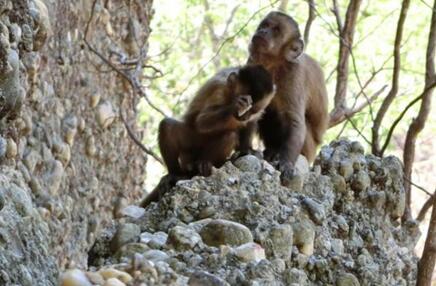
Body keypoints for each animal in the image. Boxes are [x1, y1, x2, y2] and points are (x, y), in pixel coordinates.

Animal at [141, 65, 274, 207]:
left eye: (253, 111)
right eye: (245, 109)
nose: (244, 117)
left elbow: (251, 123)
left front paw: (247, 150)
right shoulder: (219, 89)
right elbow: (202, 121)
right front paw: (236, 105)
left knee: (229, 136)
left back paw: (206, 164)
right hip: (189, 148)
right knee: (168, 126)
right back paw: (176, 175)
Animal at [245, 11, 328, 184]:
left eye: (276, 30)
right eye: (264, 25)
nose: (262, 32)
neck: (274, 65)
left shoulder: (294, 74)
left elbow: (295, 122)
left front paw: (286, 163)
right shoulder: (253, 64)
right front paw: (246, 149)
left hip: (310, 149)